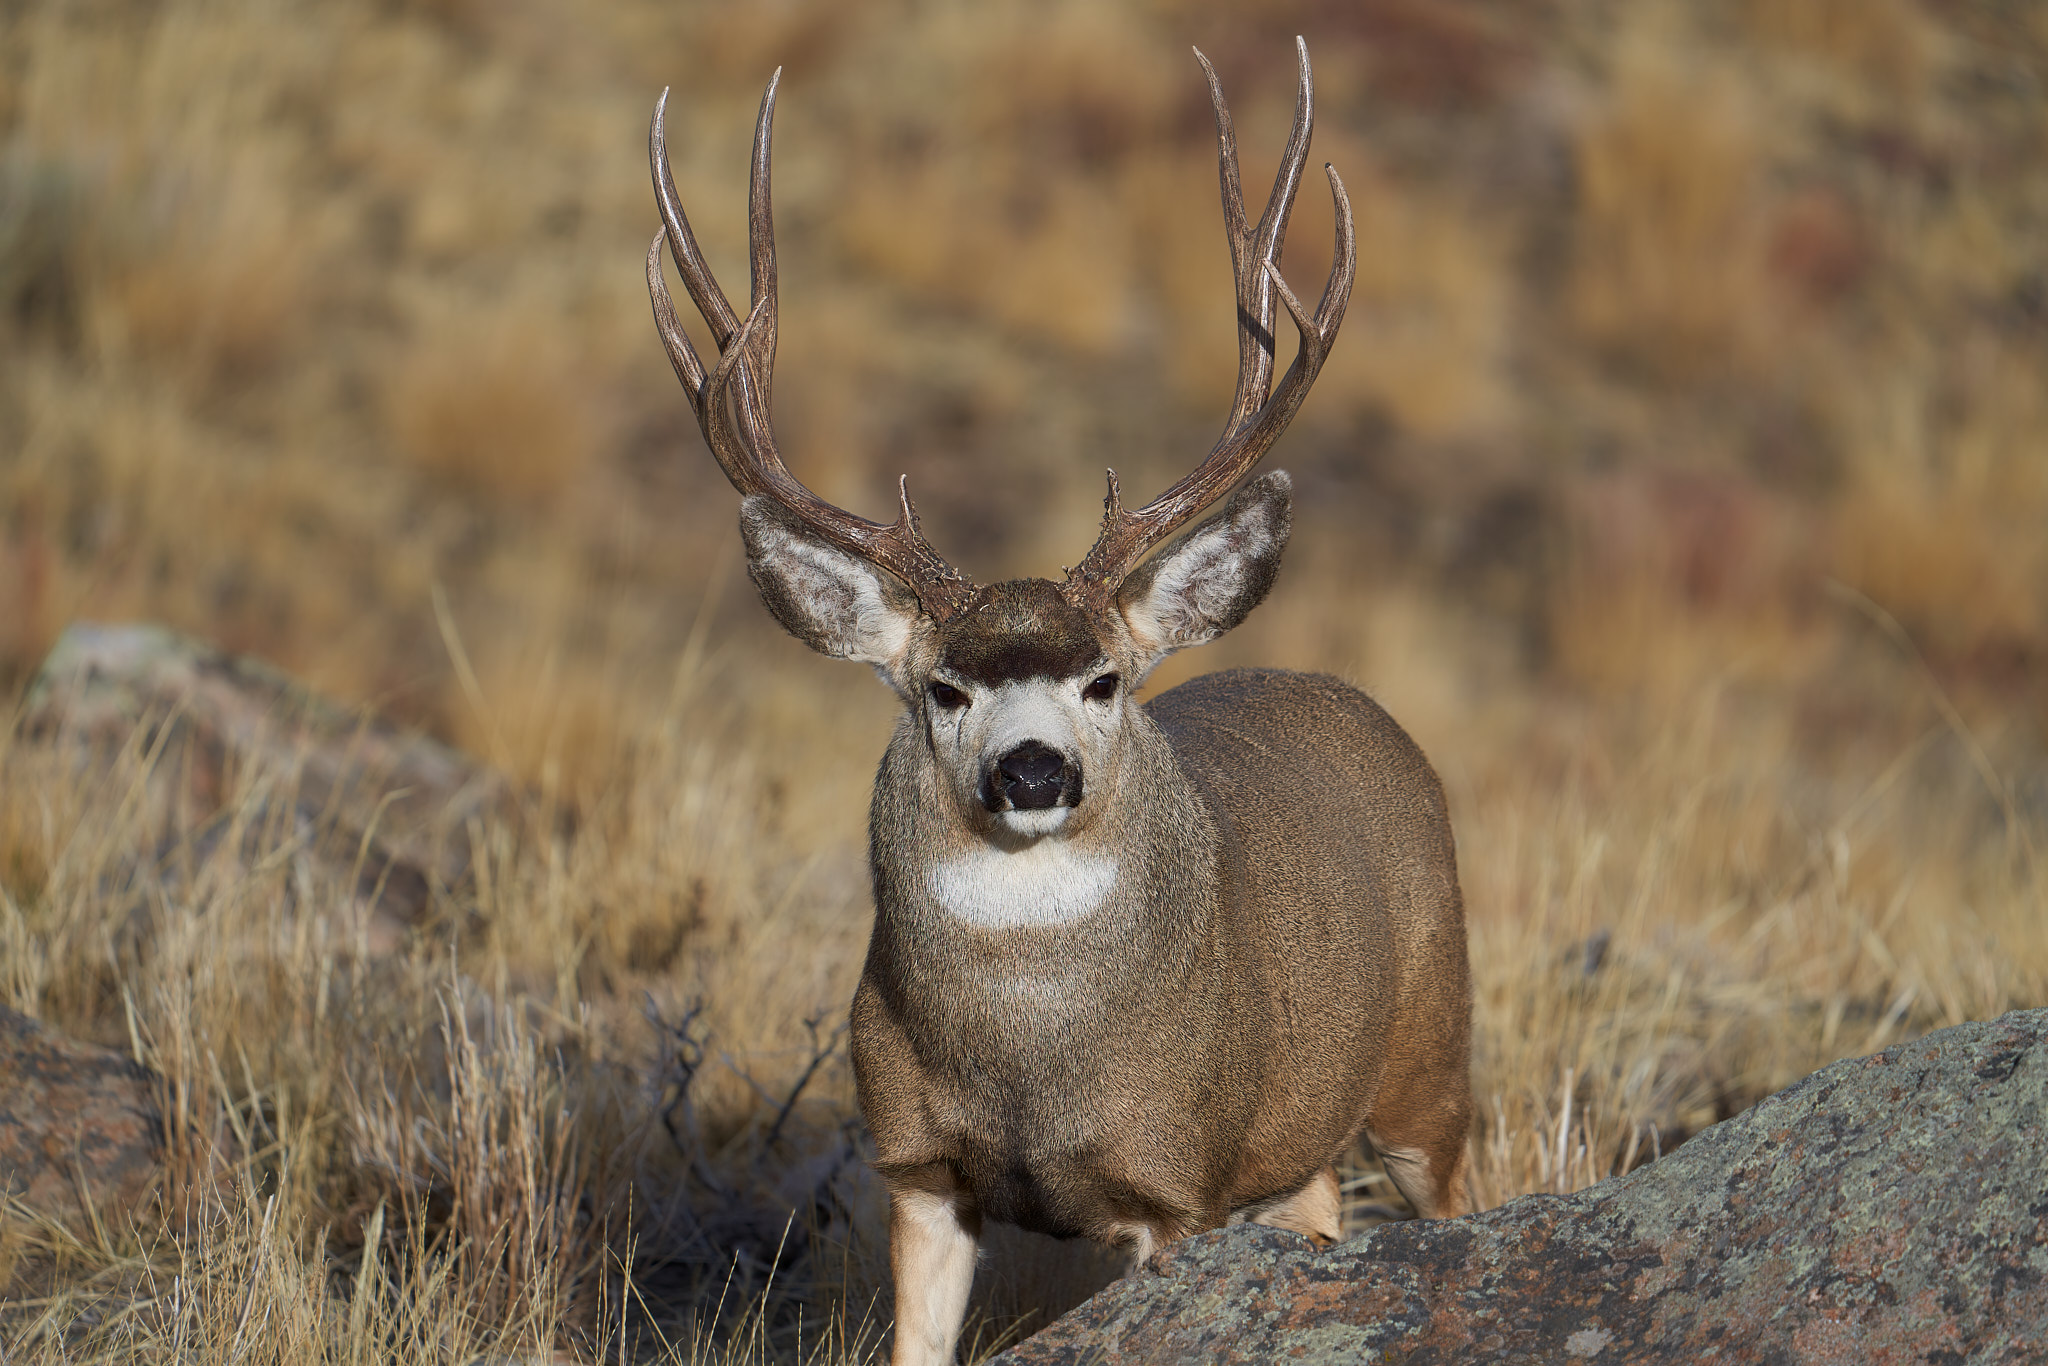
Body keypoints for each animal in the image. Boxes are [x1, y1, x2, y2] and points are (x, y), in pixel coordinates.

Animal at [645, 39, 1473, 1366]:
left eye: (1103, 678)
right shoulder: (916, 1165)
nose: (1033, 770)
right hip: (1301, 1138)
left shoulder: (1173, 1181)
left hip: (1428, 1056)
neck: (1032, 1059)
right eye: (942, 685)